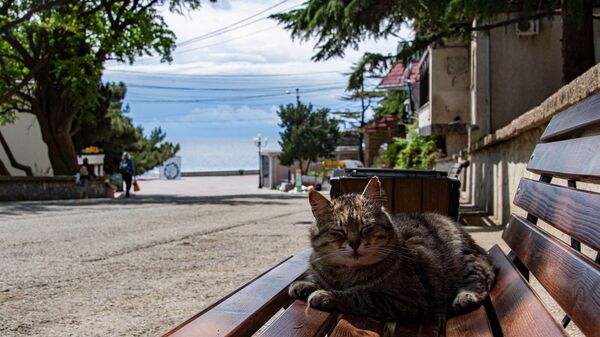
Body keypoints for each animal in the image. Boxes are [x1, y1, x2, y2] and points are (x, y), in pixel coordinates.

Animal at [290, 176, 496, 320]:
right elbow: (319, 281)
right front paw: (305, 285)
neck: (343, 273)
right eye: (339, 231)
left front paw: (325, 295)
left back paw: (466, 295)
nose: (355, 243)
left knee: (480, 278)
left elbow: (359, 295)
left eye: (366, 227)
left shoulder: (406, 298)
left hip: (463, 259)